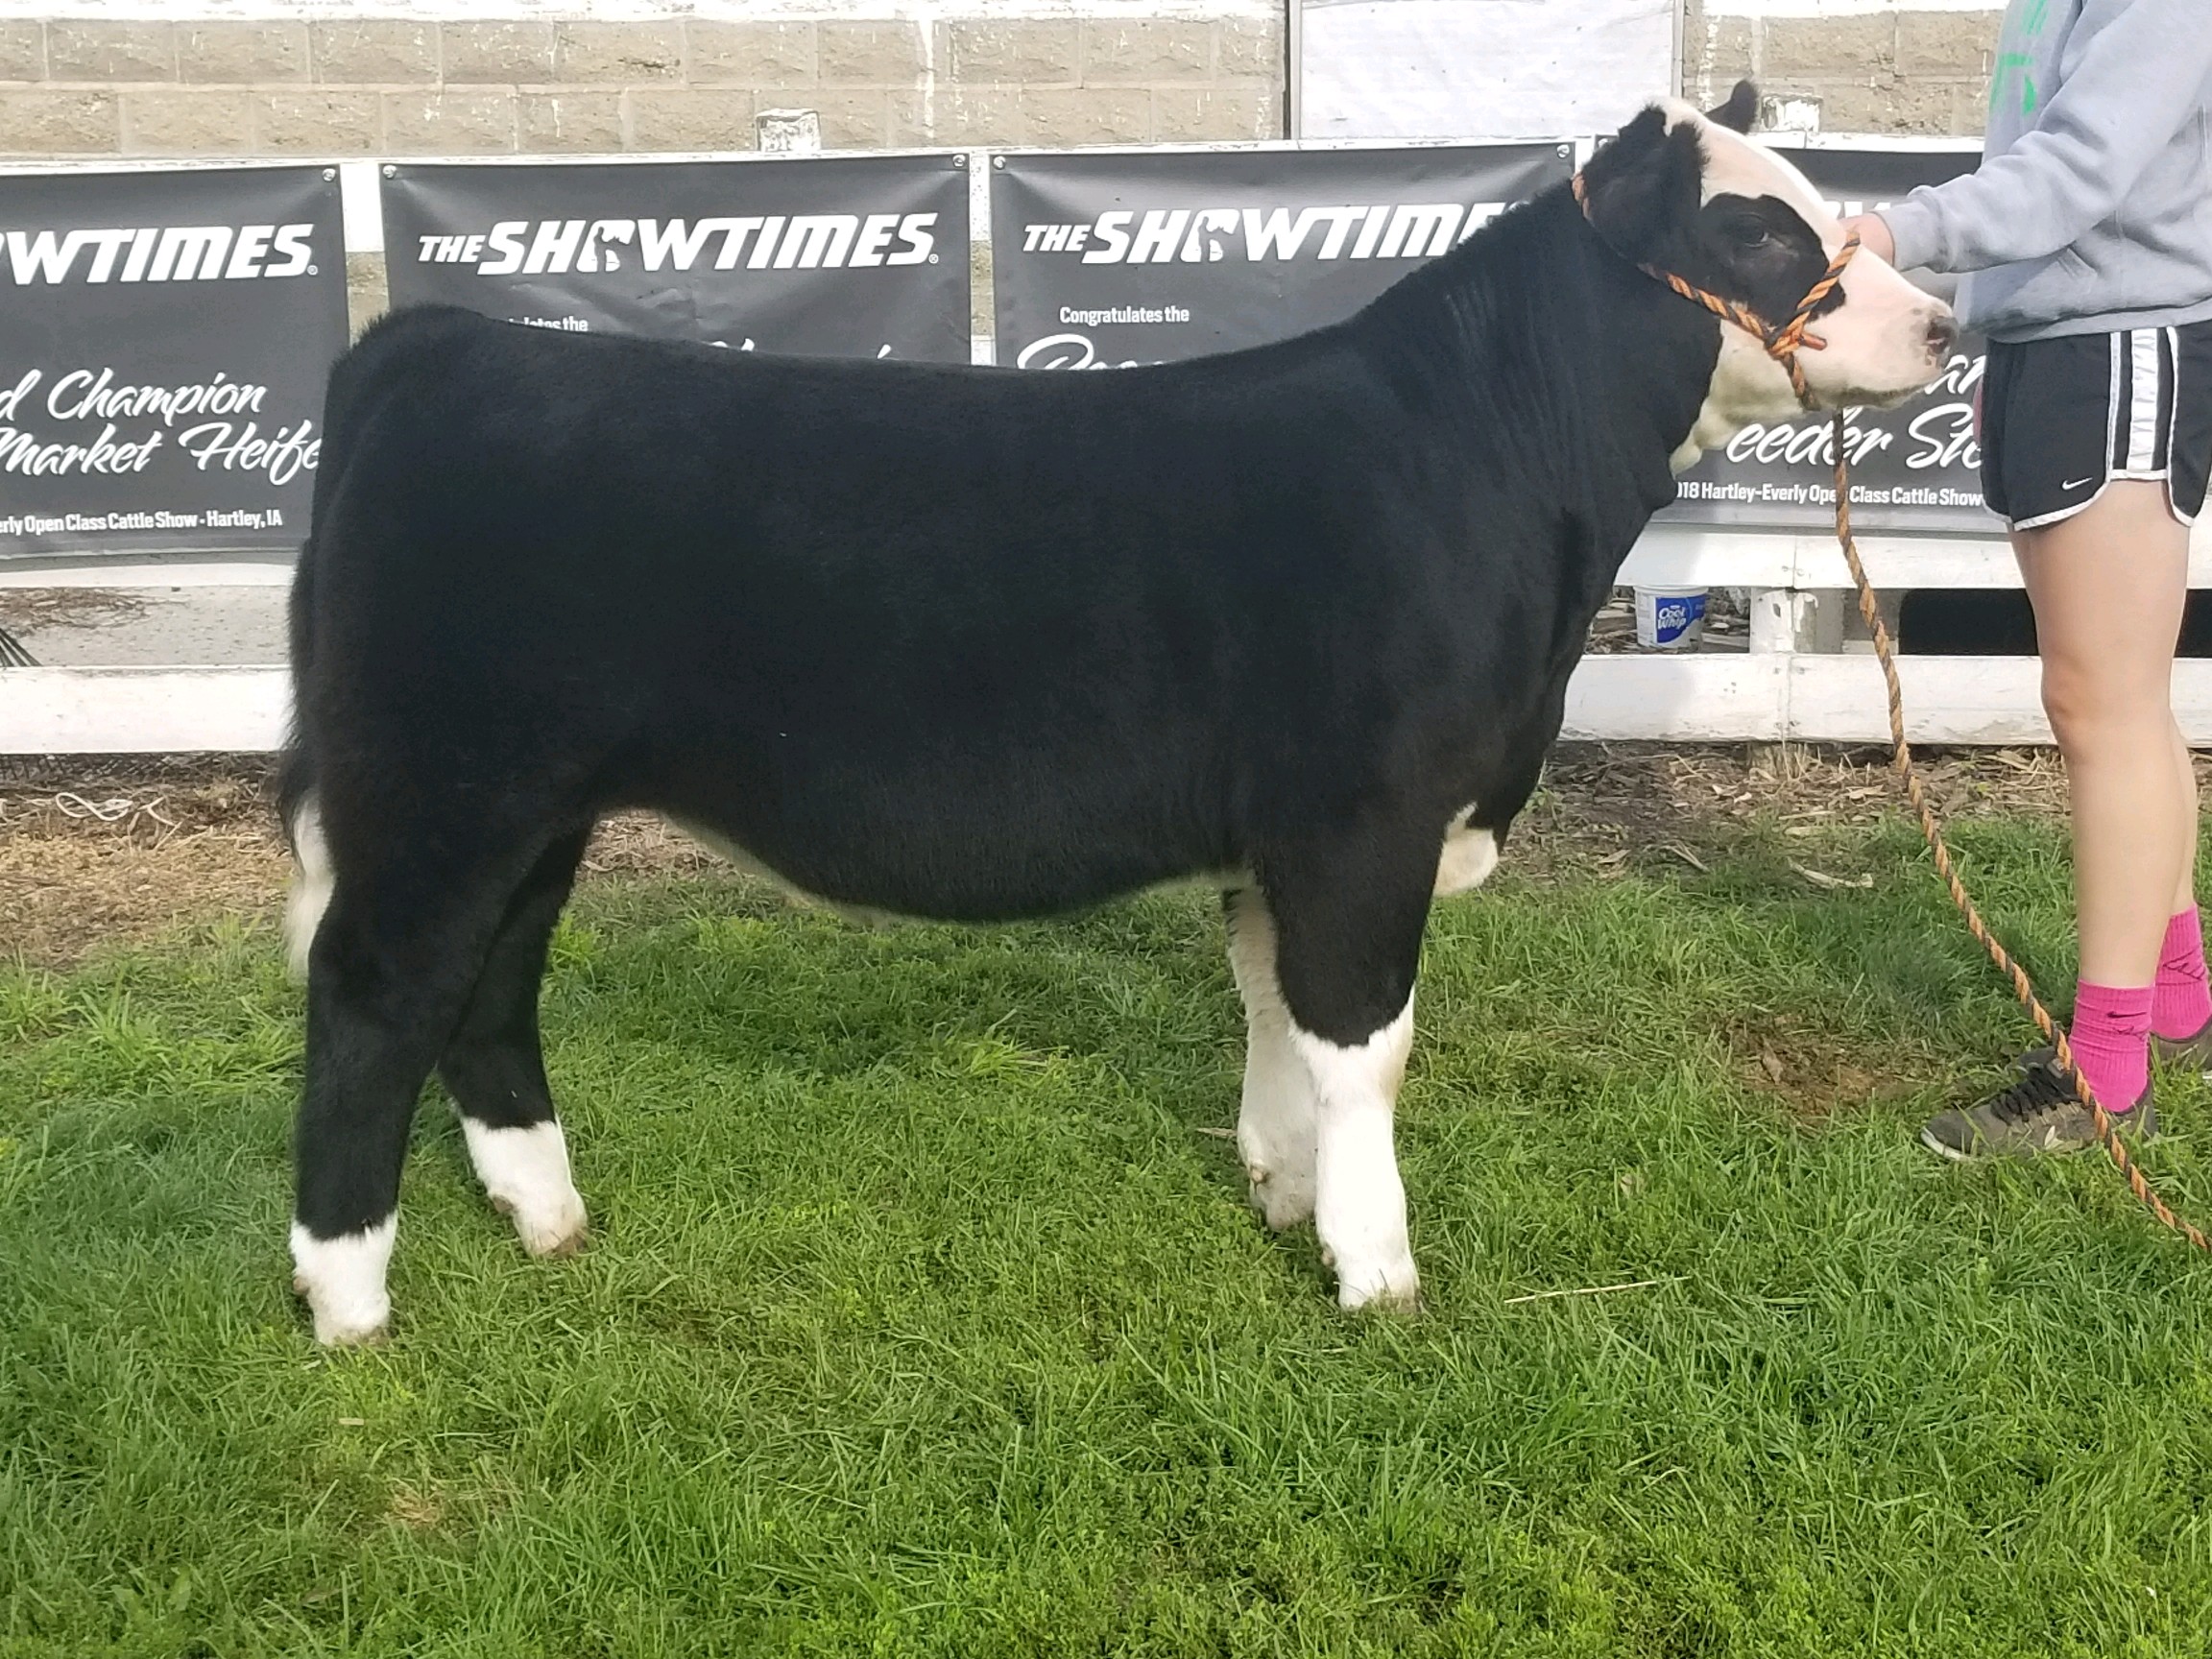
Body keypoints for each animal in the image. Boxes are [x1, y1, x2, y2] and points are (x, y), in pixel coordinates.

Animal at [280, 85, 1957, 1344]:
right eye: (1754, 226)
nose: (1942, 322)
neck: (1489, 460)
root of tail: (436, 346)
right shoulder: (1367, 817)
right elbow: (1368, 1045)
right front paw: (1378, 1271)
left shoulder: (1285, 836)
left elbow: (1273, 1007)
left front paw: (1284, 1194)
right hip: (440, 791)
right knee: (374, 996)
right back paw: (347, 1297)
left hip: (533, 808)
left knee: (487, 993)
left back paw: (549, 1220)